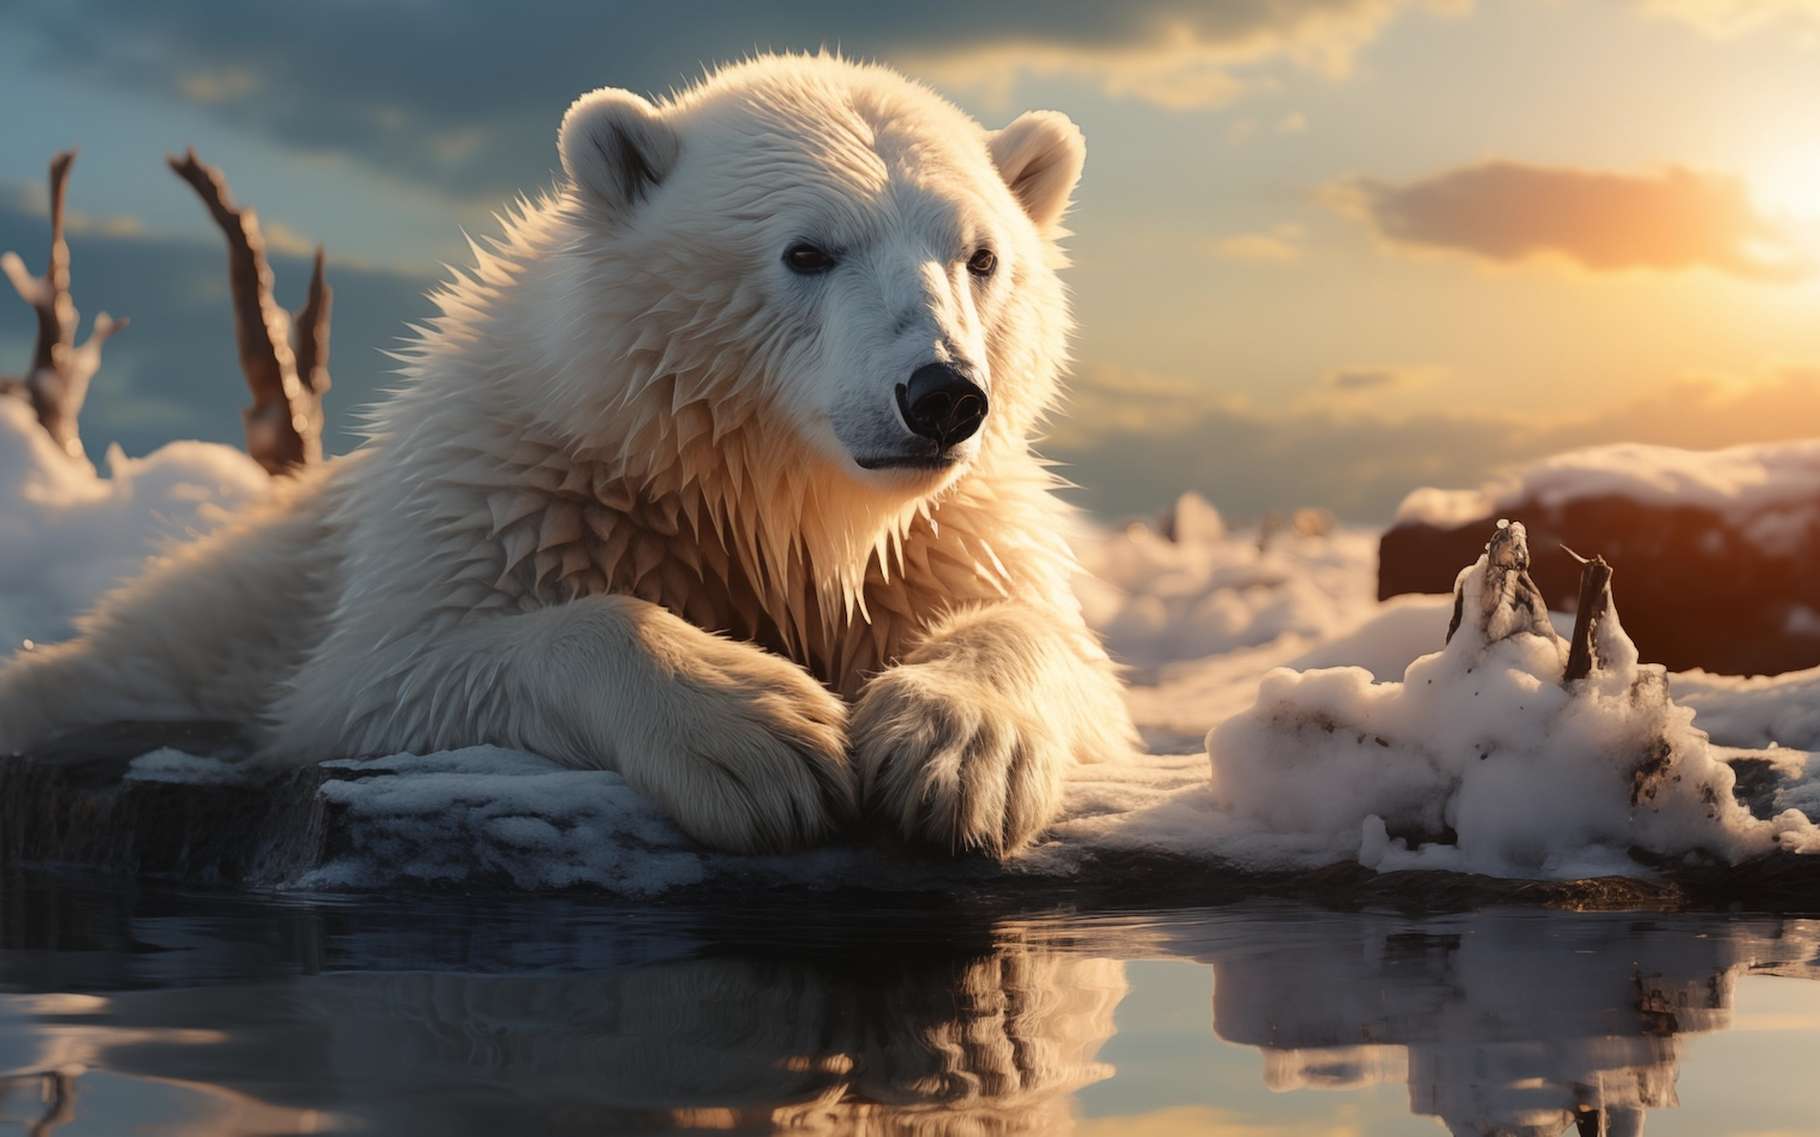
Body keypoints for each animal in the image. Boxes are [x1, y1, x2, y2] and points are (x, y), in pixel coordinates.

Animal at [0, 53, 1135, 851]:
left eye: (980, 256)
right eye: (807, 250)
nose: (941, 396)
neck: (766, 497)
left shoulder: (952, 532)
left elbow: (1057, 648)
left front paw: (955, 749)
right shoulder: (511, 488)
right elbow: (391, 672)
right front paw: (760, 732)